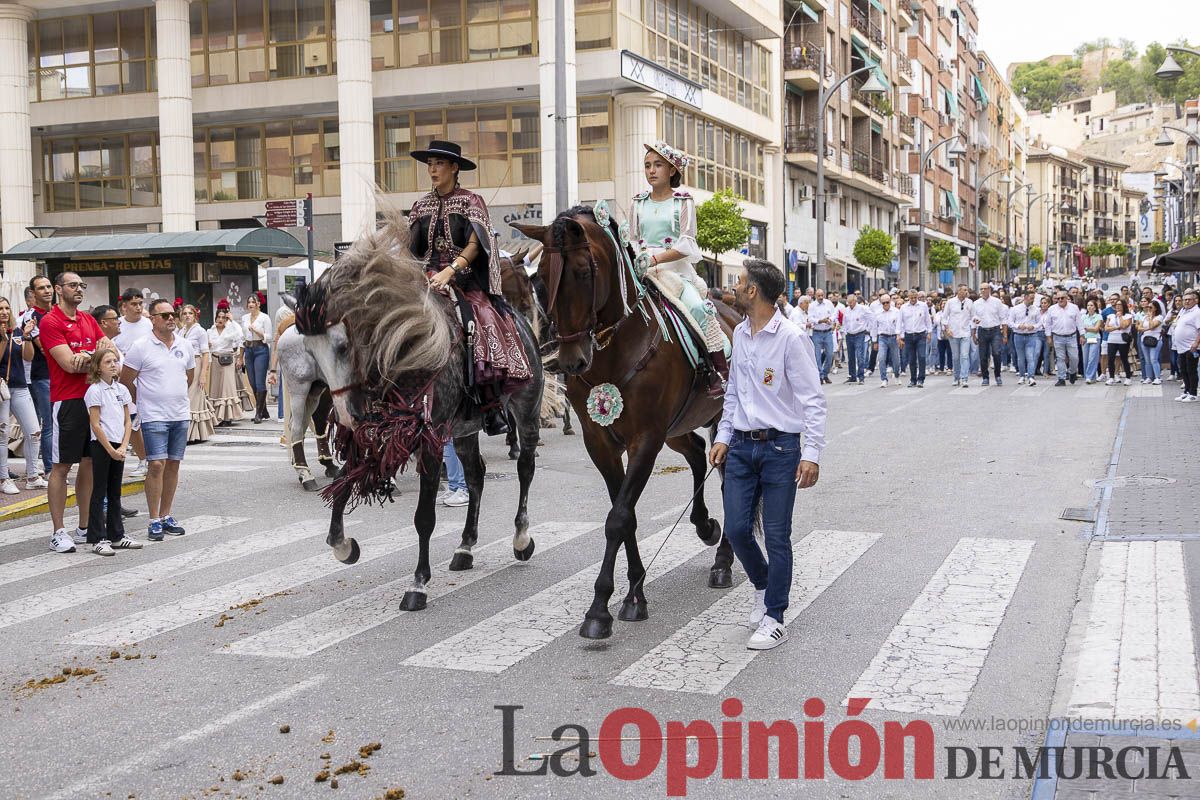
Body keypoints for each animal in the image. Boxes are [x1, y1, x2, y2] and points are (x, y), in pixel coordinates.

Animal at [286, 210, 544, 613]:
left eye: (342, 345)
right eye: (310, 350)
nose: (346, 414)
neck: (407, 347)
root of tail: (520, 325)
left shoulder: (429, 438)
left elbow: (424, 517)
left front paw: (418, 585)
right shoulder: (373, 436)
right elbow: (344, 485)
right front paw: (344, 546)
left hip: (526, 409)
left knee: (525, 468)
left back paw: (521, 538)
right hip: (464, 429)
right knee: (476, 475)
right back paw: (465, 547)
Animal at [513, 206, 738, 641]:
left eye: (584, 271)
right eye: (542, 276)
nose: (571, 361)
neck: (615, 349)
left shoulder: (645, 439)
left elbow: (618, 518)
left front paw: (600, 609)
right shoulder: (601, 442)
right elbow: (626, 515)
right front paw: (634, 591)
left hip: (719, 420)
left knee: (729, 477)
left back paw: (723, 560)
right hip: (678, 427)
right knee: (697, 454)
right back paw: (705, 526)